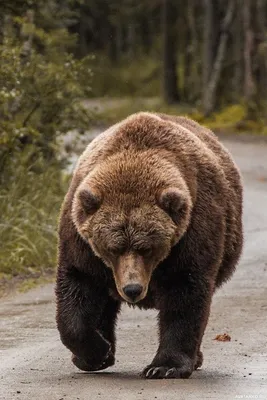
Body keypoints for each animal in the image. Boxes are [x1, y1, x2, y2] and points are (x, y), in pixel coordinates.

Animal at [55, 111, 244, 378]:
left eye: (147, 248)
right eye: (113, 248)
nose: (133, 289)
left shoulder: (193, 231)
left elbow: (185, 294)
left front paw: (164, 366)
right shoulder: (81, 241)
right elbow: (78, 288)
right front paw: (96, 353)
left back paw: (195, 357)